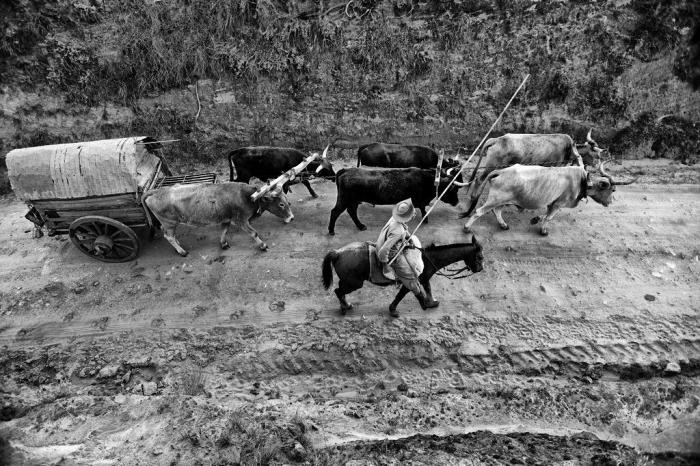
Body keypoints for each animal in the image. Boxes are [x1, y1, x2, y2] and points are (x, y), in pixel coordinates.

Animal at [322, 237, 482, 316]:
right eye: (480, 257)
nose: (480, 269)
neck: (427, 258)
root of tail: (338, 252)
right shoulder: (410, 281)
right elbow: (402, 295)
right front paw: (393, 310)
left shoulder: (423, 279)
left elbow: (428, 289)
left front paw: (431, 302)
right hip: (354, 283)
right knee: (338, 291)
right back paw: (344, 307)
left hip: (349, 281)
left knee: (340, 290)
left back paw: (345, 305)